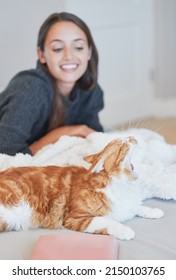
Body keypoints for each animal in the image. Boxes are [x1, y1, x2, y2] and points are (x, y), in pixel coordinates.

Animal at [0, 136, 164, 241]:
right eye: (123, 144)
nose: (132, 137)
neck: (122, 187)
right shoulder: (77, 218)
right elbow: (107, 222)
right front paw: (124, 230)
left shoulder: (127, 204)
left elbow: (137, 207)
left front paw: (153, 211)